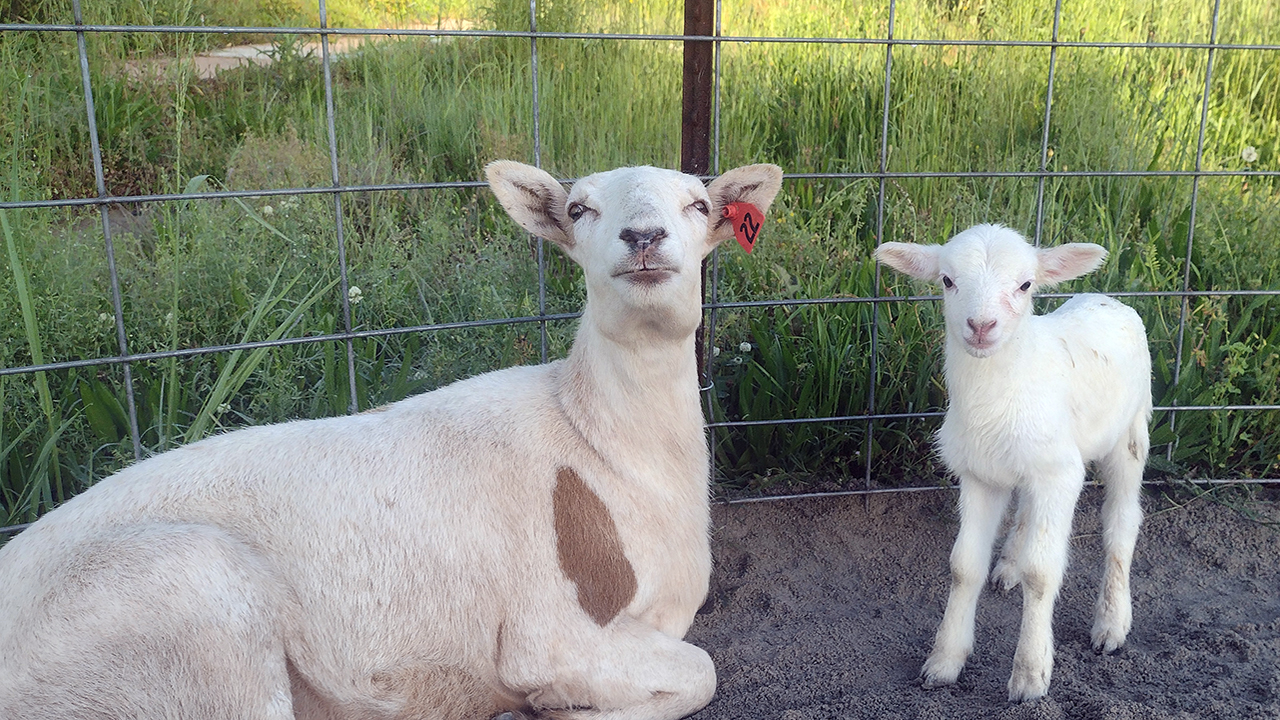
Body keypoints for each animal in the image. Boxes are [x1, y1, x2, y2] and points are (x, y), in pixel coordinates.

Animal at [0, 159, 778, 717]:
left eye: (699, 205)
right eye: (579, 209)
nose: (643, 239)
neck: (600, 447)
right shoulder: (552, 634)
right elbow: (698, 675)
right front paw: (549, 707)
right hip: (194, 609)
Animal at [875, 224, 1157, 702]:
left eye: (1025, 285)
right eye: (947, 280)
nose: (981, 326)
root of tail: (1108, 298)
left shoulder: (1059, 474)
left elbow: (1042, 575)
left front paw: (1030, 675)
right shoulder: (978, 473)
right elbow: (963, 567)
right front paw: (944, 662)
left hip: (1130, 431)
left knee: (1121, 523)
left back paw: (1111, 623)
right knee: (1025, 509)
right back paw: (1009, 562)